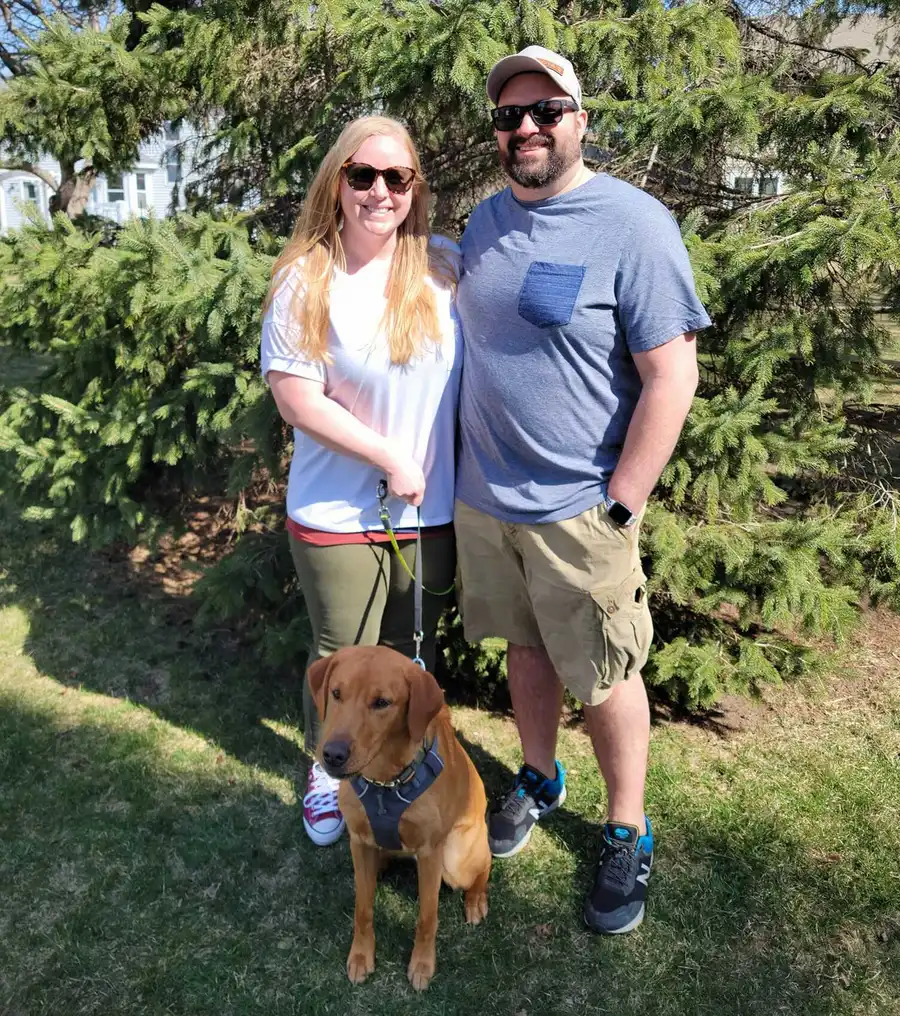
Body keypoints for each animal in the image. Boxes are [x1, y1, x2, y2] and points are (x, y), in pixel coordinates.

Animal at [310, 642, 493, 991]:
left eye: (382, 702)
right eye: (337, 693)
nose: (332, 755)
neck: (385, 783)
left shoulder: (431, 853)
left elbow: (427, 916)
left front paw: (422, 964)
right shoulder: (359, 842)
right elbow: (363, 908)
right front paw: (361, 956)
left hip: (456, 861)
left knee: (484, 867)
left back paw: (476, 900)